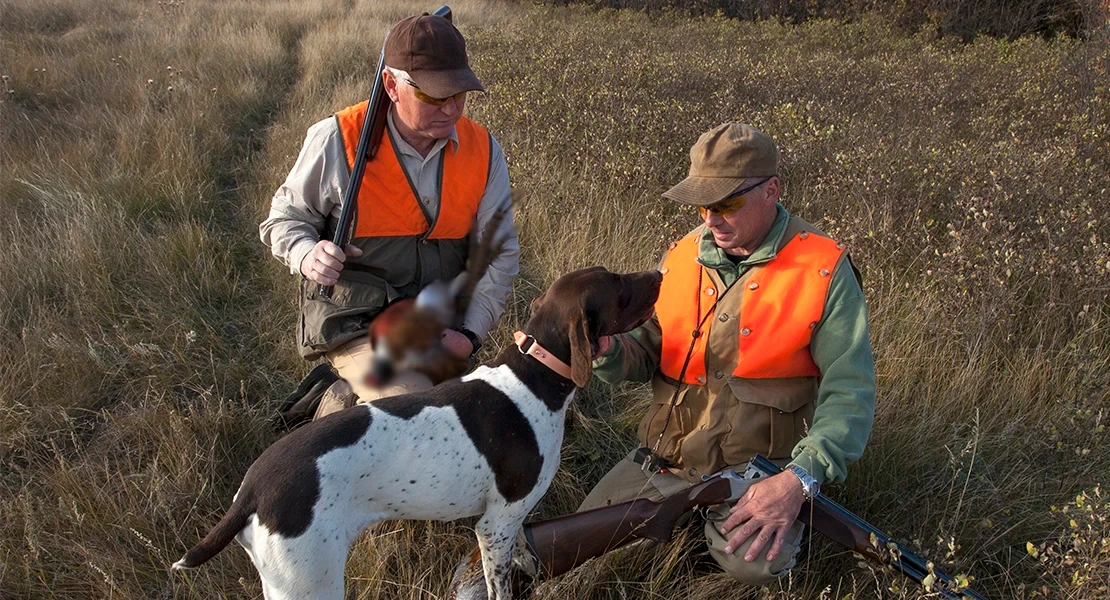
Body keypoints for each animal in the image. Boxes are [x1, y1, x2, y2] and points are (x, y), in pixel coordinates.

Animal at [168, 266, 661, 598]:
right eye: (618, 286)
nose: (659, 272)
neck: (535, 377)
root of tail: (251, 489)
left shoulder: (510, 520)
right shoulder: (493, 525)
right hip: (309, 582)